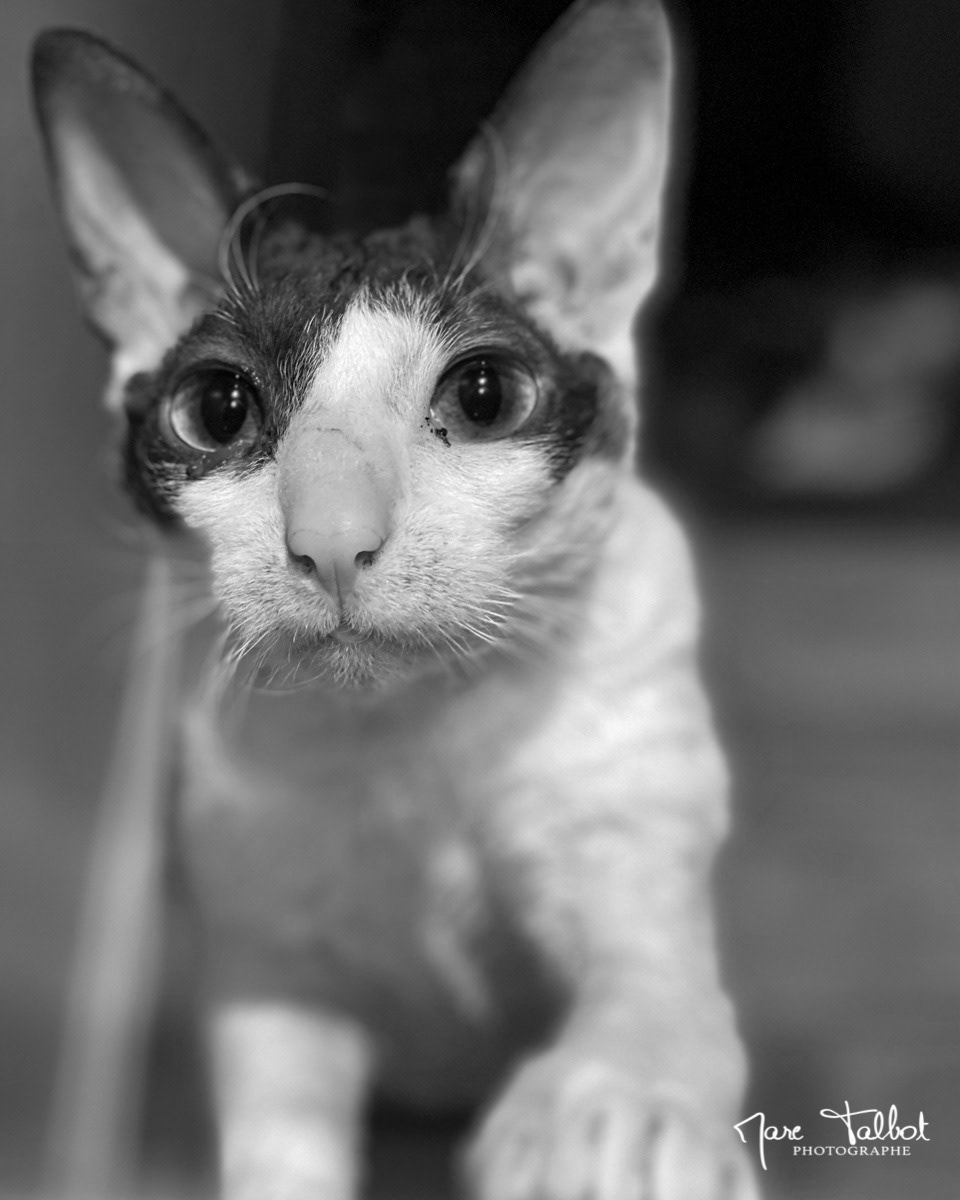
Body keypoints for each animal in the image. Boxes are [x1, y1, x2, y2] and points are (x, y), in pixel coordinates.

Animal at [33, 2, 758, 1198]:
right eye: (218, 409)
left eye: (484, 396)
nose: (331, 536)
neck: (409, 737)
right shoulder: (269, 965)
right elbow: (281, 1141)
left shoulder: (626, 830)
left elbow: (650, 982)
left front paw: (619, 1106)